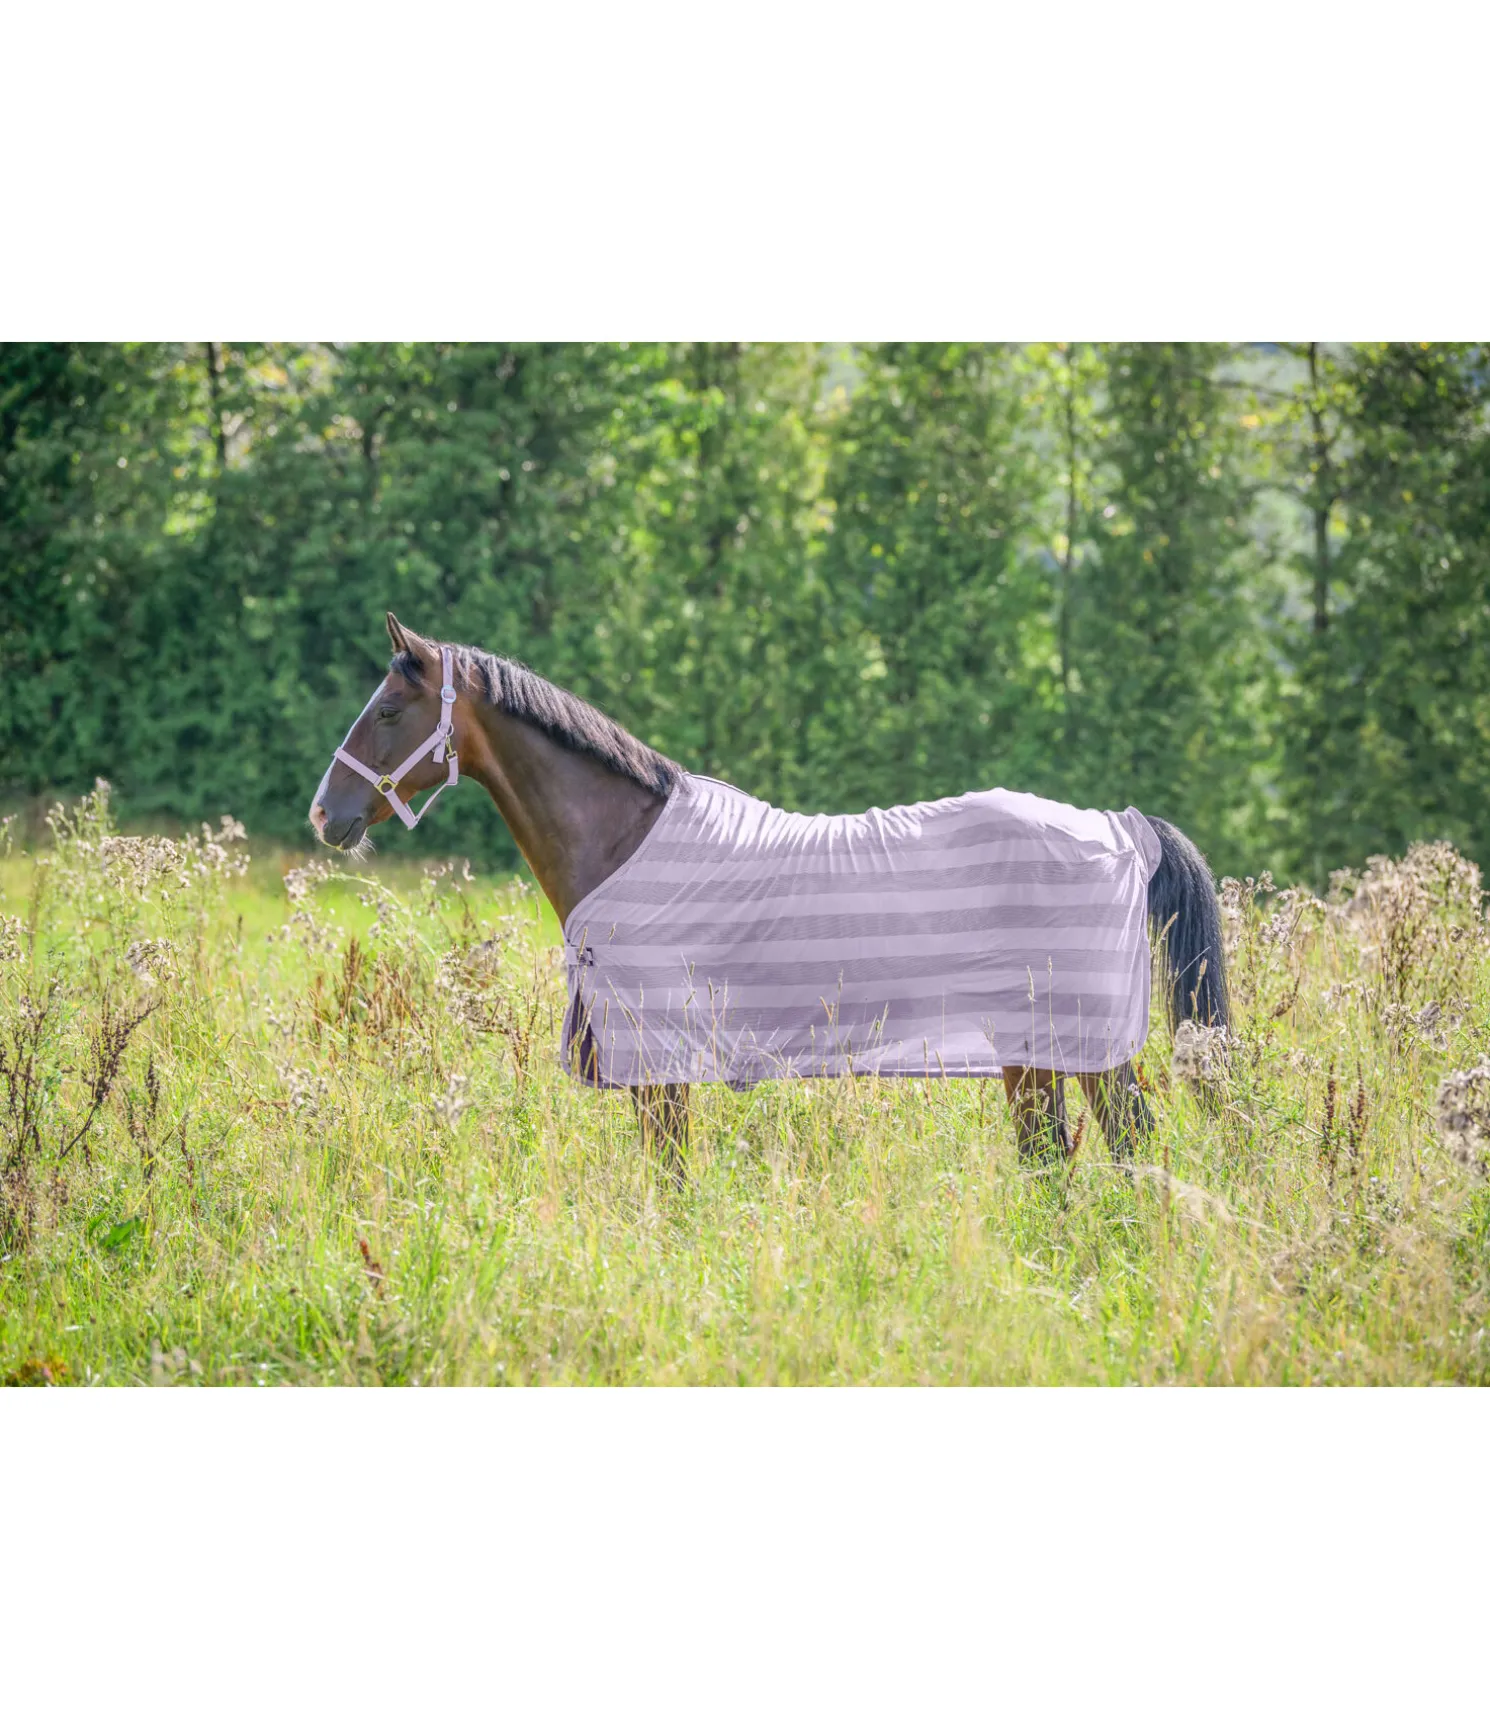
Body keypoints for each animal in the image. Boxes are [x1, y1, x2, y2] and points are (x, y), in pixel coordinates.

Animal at [310, 614, 1229, 1181]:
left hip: (1072, 1045)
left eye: (388, 710)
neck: (625, 841)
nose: (325, 814)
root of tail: (1121, 828)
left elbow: (671, 1178)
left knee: (1113, 1143)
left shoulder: (658, 1064)